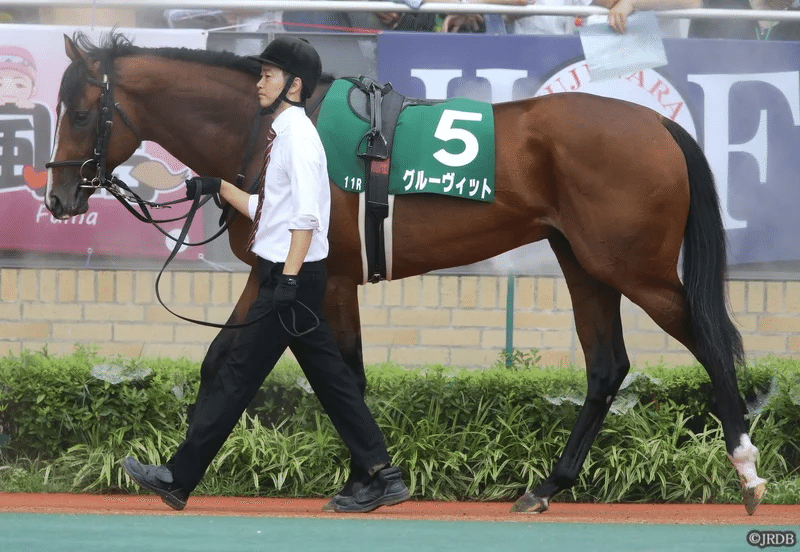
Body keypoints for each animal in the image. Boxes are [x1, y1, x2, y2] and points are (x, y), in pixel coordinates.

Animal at [46, 32, 767, 515]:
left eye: (79, 112)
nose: (58, 199)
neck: (272, 127)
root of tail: (658, 125)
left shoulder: (327, 277)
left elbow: (342, 375)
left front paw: (367, 482)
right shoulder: (274, 270)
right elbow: (227, 361)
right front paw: (174, 473)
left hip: (633, 267)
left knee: (710, 345)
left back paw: (747, 471)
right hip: (583, 262)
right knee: (607, 366)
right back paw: (546, 486)